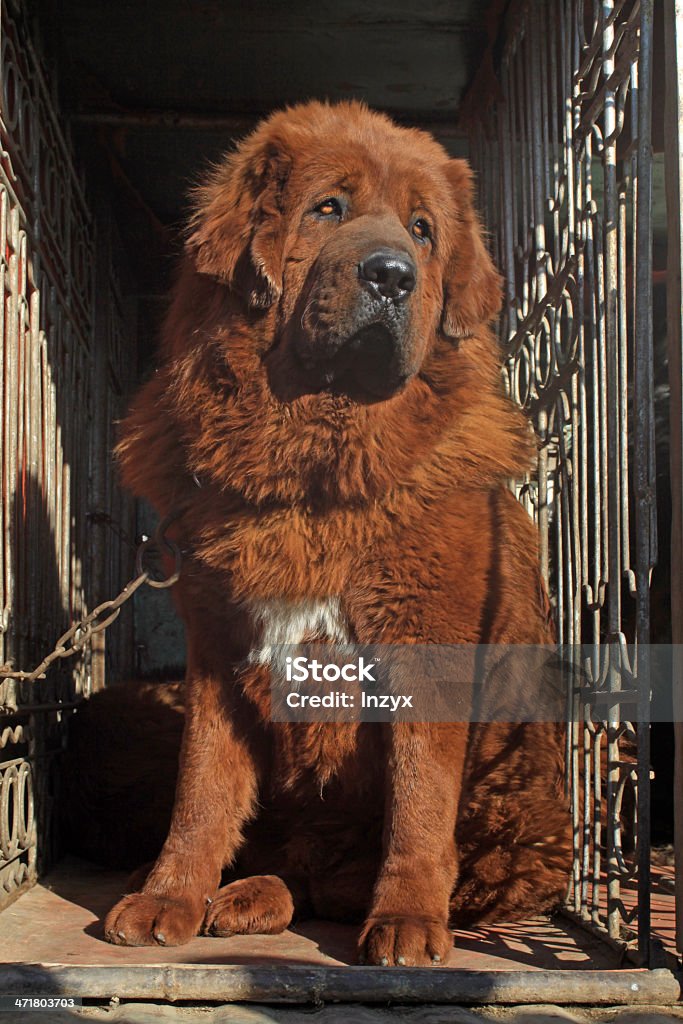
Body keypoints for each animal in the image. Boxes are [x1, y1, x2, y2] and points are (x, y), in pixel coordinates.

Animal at [105, 99, 573, 962]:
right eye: (328, 208)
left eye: (422, 230)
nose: (391, 274)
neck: (309, 464)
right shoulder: (220, 650)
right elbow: (201, 791)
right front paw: (168, 894)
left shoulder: (424, 645)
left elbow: (418, 806)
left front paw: (407, 921)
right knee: (298, 863)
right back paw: (236, 892)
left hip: (509, 809)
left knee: (359, 877)